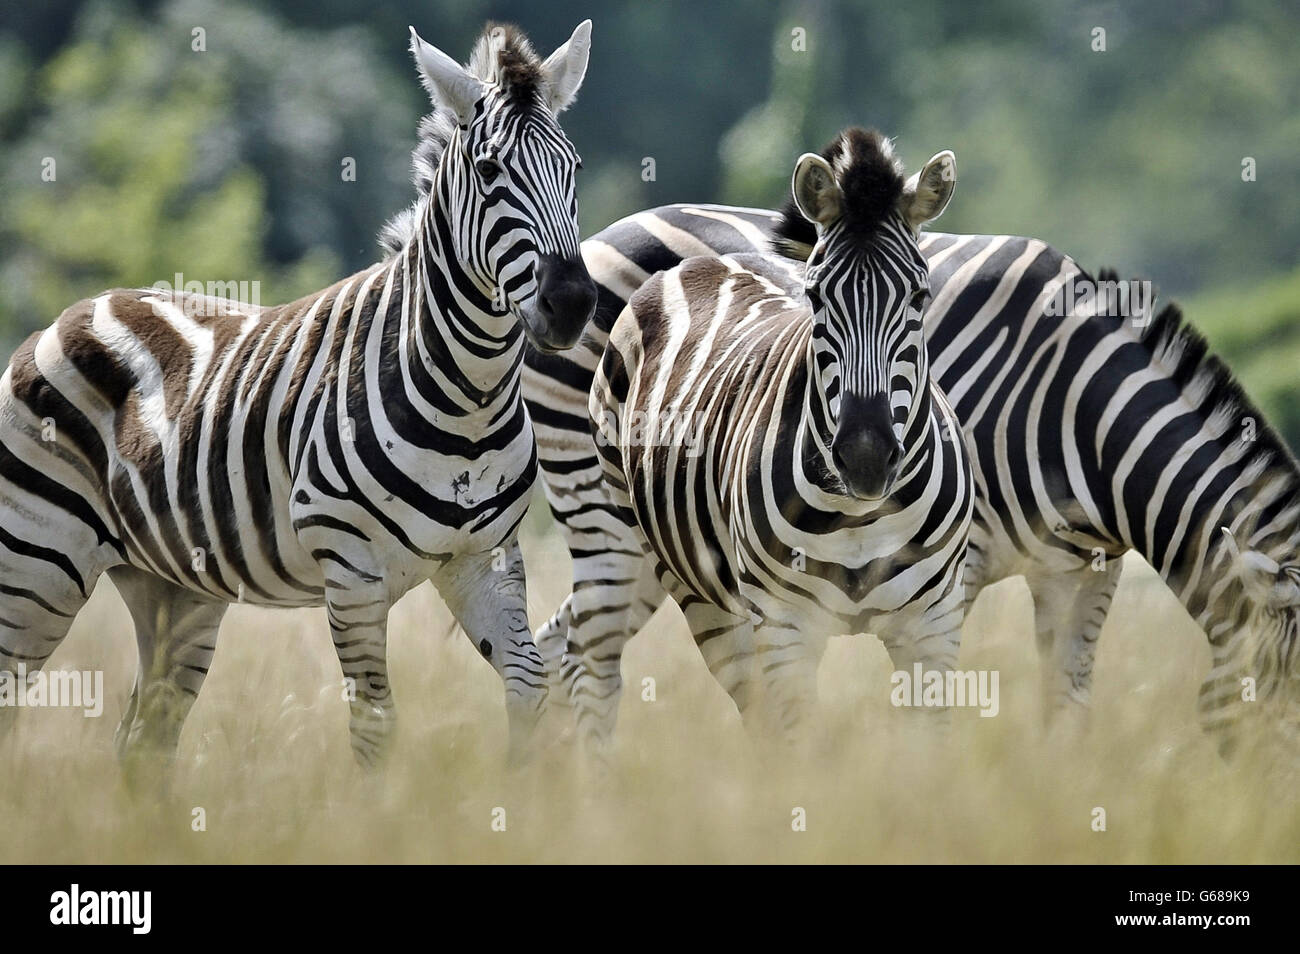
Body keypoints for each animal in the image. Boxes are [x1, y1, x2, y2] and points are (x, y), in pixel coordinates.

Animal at [0, 18, 598, 774]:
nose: (571, 304)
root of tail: (71, 312)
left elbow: (528, 688)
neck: (470, 396)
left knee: (144, 741)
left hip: (172, 585)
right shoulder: (352, 574)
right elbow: (375, 726)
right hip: (36, 562)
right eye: (491, 173)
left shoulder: (482, 559)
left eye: (572, 168)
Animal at [525, 205, 1300, 759]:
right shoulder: (956, 561)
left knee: (564, 644)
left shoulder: (1084, 570)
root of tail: (594, 241)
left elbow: (1065, 703)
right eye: (1282, 727)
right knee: (588, 655)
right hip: (606, 509)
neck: (1077, 406)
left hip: (671, 542)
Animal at [582, 132, 977, 748]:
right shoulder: (787, 628)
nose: (865, 457)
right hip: (680, 576)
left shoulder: (934, 625)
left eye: (919, 295)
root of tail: (714, 257)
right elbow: (800, 753)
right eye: (817, 297)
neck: (858, 515)